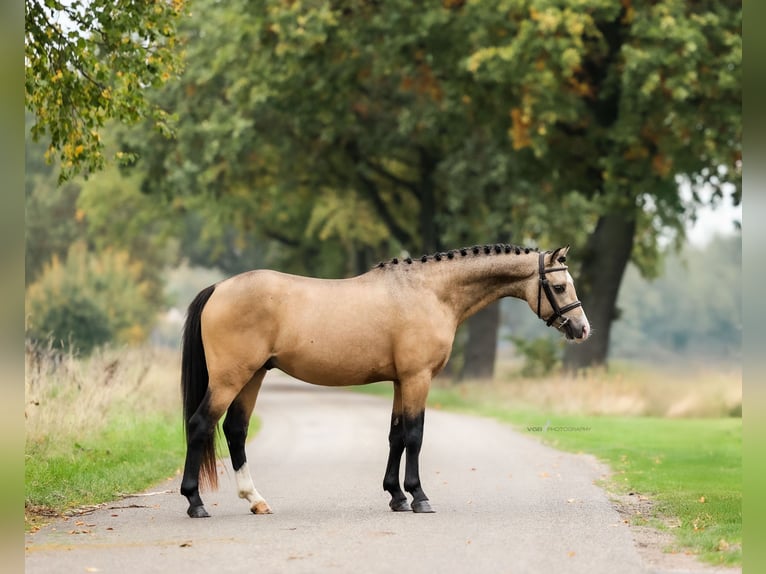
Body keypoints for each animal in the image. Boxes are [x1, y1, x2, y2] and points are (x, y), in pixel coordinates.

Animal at [180, 243, 590, 518]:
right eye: (559, 287)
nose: (582, 329)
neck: (431, 292)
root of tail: (218, 288)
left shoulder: (399, 381)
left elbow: (396, 435)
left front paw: (396, 496)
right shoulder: (417, 378)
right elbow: (415, 435)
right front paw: (419, 497)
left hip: (252, 376)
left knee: (235, 430)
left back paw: (256, 499)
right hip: (231, 378)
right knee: (200, 425)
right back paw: (195, 502)